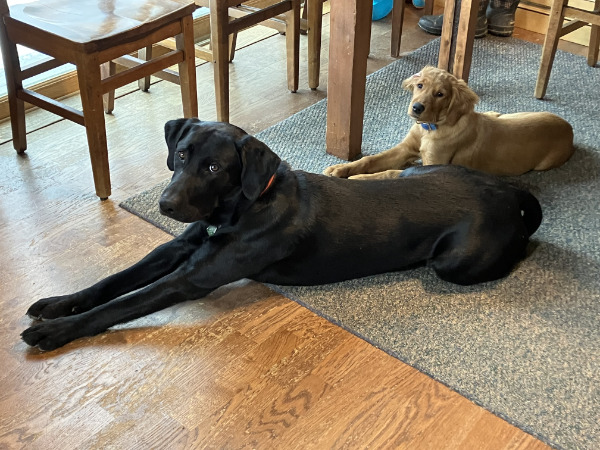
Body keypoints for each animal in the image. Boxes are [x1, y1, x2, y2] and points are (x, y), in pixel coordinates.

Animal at [21, 119, 540, 352]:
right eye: (182, 154)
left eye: (214, 168)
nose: (165, 205)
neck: (242, 208)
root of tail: (508, 189)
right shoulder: (179, 246)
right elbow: (112, 283)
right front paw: (59, 305)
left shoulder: (191, 278)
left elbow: (121, 304)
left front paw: (55, 332)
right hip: (421, 167)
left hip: (454, 261)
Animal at [326, 66, 576, 178]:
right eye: (420, 85)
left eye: (440, 94)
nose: (417, 108)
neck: (430, 128)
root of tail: (569, 129)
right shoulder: (406, 149)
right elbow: (370, 159)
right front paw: (341, 168)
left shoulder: (432, 166)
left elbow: (390, 173)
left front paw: (359, 178)